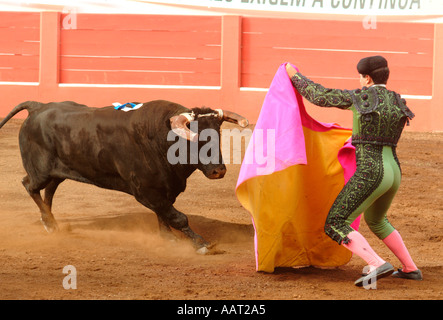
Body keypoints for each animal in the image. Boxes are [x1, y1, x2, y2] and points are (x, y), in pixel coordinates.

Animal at [0, 100, 250, 252]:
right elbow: (176, 216)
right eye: (196, 139)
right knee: (29, 185)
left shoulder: (164, 189)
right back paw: (49, 222)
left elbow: (164, 212)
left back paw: (50, 223)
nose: (218, 170)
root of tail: (38, 107)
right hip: (40, 170)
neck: (160, 138)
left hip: (58, 171)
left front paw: (167, 238)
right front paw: (200, 243)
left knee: (49, 190)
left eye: (217, 135)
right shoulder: (144, 190)